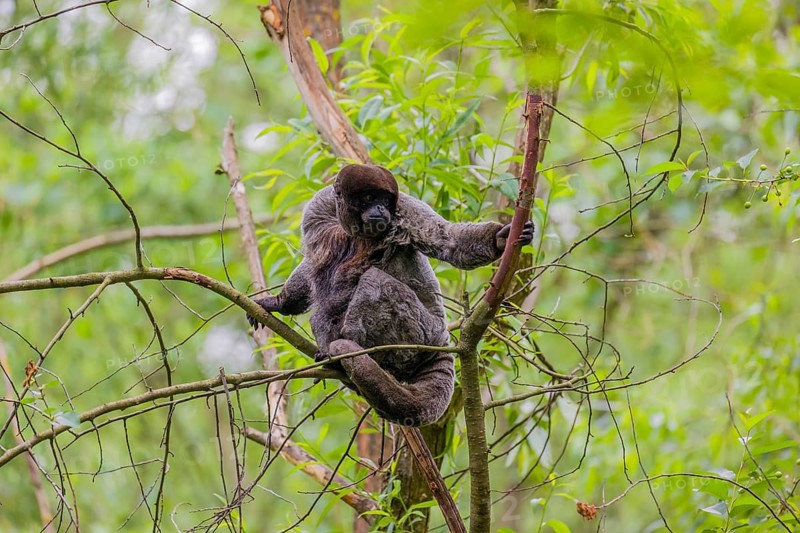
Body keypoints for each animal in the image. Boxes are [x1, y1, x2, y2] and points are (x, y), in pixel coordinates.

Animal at [249, 164, 533, 426]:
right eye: (368, 198)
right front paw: (279, 301)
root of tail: (441, 340)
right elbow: (311, 266)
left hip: (419, 331)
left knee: (374, 280)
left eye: (385, 200)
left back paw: (343, 353)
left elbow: (448, 239)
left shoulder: (404, 210)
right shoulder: (317, 209)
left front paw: (500, 238)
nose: (380, 209)